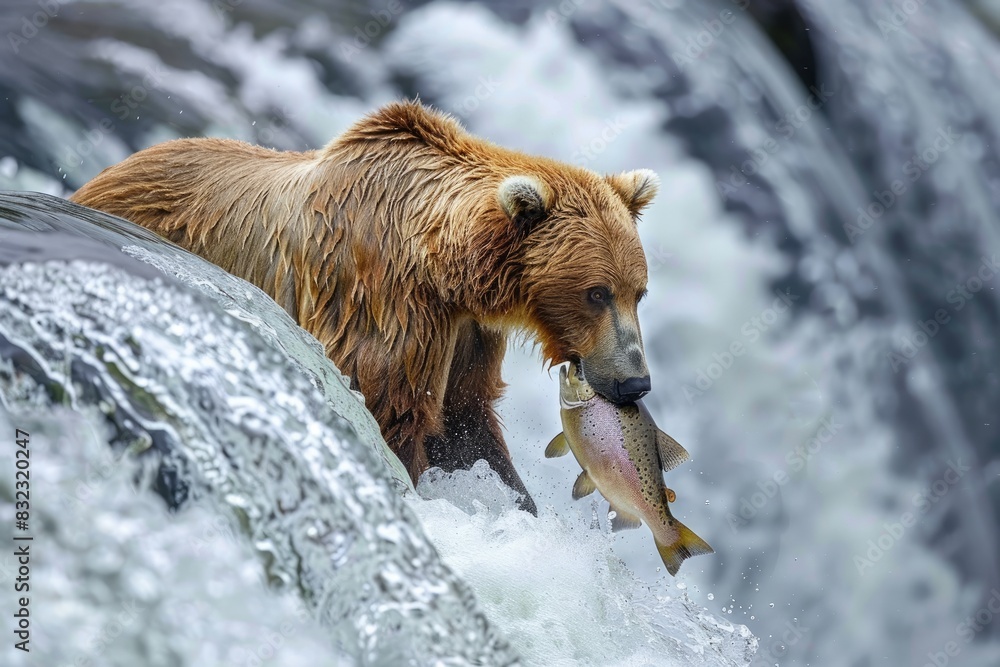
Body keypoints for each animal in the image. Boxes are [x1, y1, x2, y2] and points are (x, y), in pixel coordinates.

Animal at [69, 101, 659, 514]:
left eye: (638, 291)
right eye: (596, 292)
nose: (635, 382)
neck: (447, 269)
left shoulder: (467, 335)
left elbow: (467, 422)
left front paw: (518, 502)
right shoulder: (385, 307)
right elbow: (391, 412)